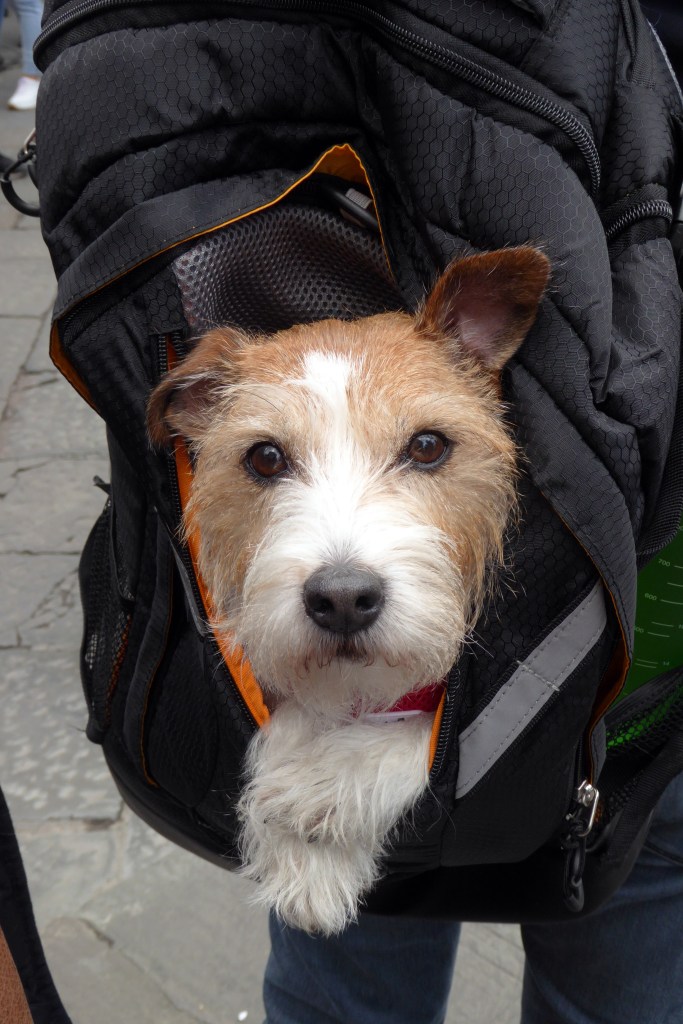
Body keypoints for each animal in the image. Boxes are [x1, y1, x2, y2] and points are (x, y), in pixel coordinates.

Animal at [147, 245, 549, 935]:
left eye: (427, 445)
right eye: (264, 458)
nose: (341, 600)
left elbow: (425, 737)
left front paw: (315, 787)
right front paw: (302, 853)